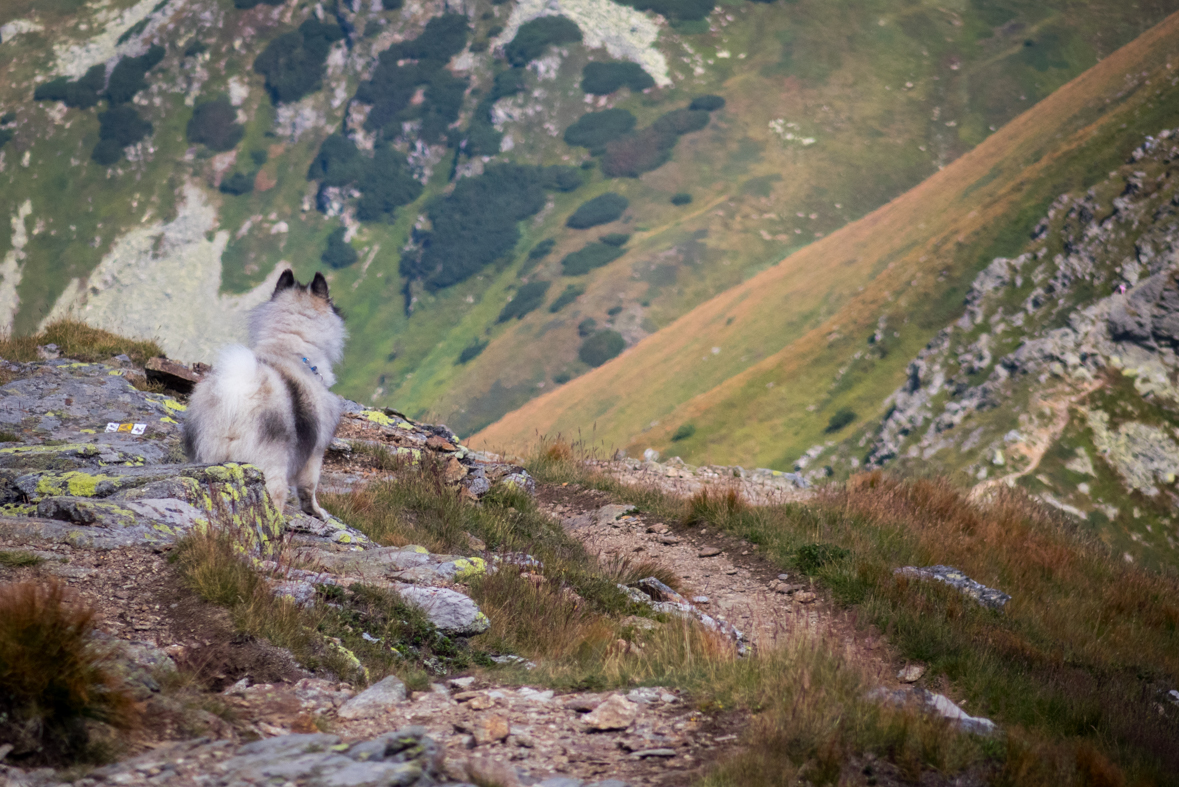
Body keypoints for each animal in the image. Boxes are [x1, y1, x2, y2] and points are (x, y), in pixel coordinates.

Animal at [180, 267, 344, 518]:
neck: (290, 348)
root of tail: (238, 396)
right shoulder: (316, 450)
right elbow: (310, 487)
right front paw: (316, 511)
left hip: (211, 459)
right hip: (270, 470)